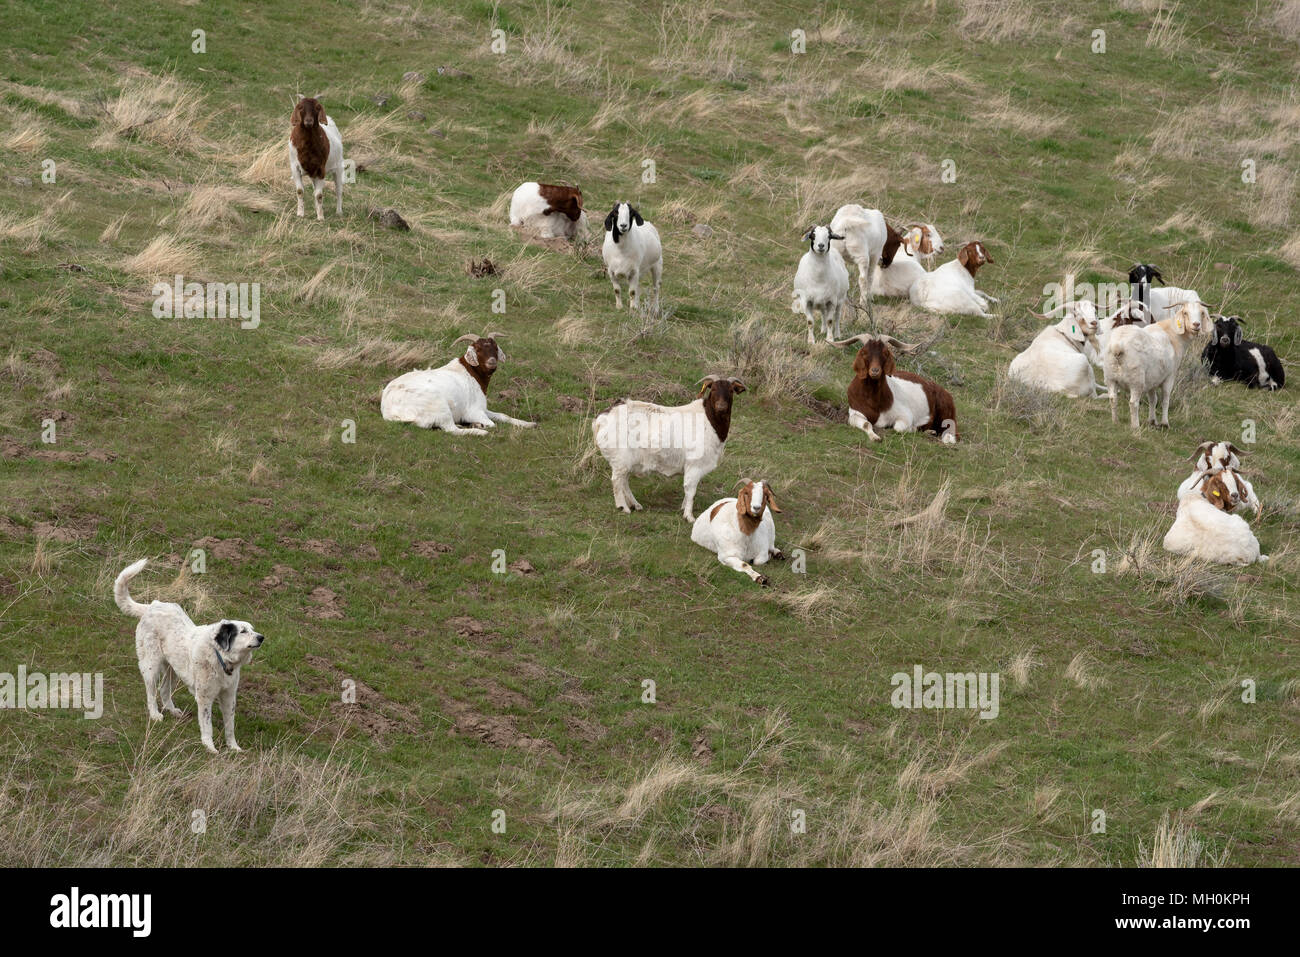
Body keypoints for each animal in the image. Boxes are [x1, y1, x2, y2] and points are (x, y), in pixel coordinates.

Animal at [113, 561, 265, 754]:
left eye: (252, 629)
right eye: (243, 631)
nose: (262, 637)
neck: (219, 657)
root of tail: (152, 606)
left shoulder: (229, 696)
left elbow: (230, 726)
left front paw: (234, 747)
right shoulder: (204, 697)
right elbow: (207, 726)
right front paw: (209, 747)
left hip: (174, 669)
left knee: (164, 690)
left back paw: (172, 711)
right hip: (151, 665)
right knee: (151, 692)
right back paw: (155, 714)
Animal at [595, 374, 748, 522]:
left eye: (731, 390)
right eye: (713, 389)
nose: (721, 406)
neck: (710, 420)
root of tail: (603, 417)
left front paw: (683, 508)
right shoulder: (694, 464)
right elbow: (691, 490)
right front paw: (689, 516)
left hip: (627, 461)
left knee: (624, 481)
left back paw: (635, 505)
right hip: (620, 459)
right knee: (617, 480)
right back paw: (623, 507)